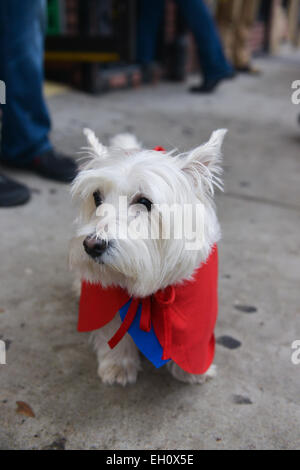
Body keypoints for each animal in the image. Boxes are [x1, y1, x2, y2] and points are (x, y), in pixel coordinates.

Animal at [69, 129, 225, 386]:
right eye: (97, 197)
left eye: (144, 202)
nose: (92, 246)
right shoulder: (105, 299)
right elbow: (113, 330)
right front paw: (118, 367)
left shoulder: (195, 301)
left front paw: (193, 371)